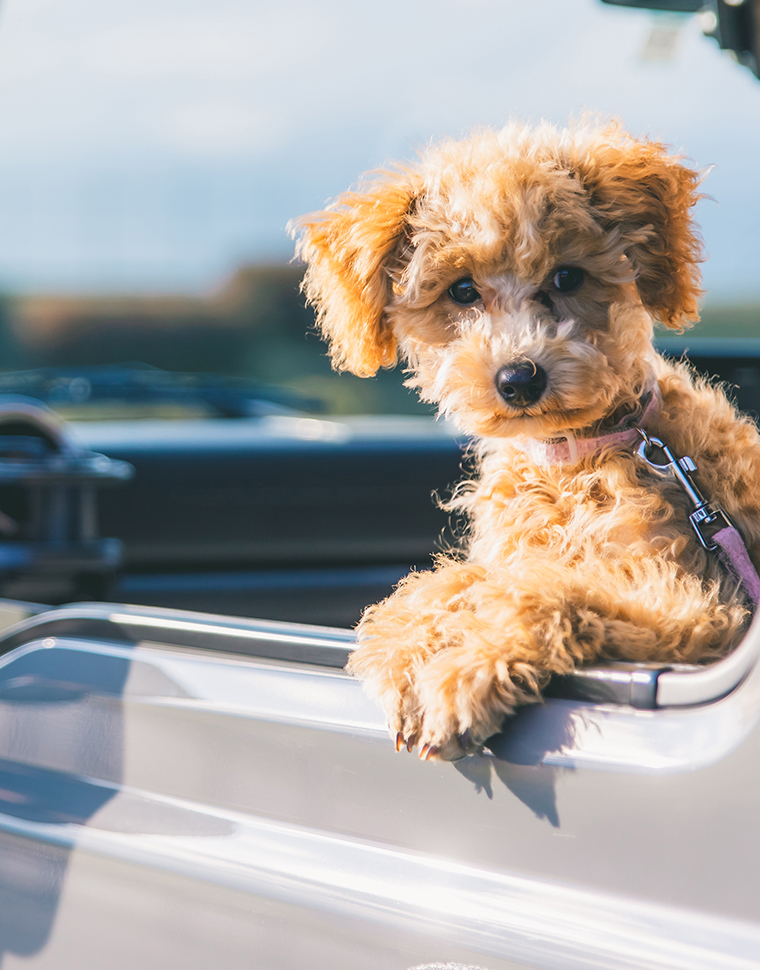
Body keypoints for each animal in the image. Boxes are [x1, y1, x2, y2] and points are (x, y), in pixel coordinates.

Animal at [290, 121, 760, 760]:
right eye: (462, 290)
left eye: (567, 277)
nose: (519, 377)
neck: (574, 457)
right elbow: (459, 579)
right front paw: (406, 642)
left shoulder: (694, 606)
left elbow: (549, 592)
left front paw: (464, 665)